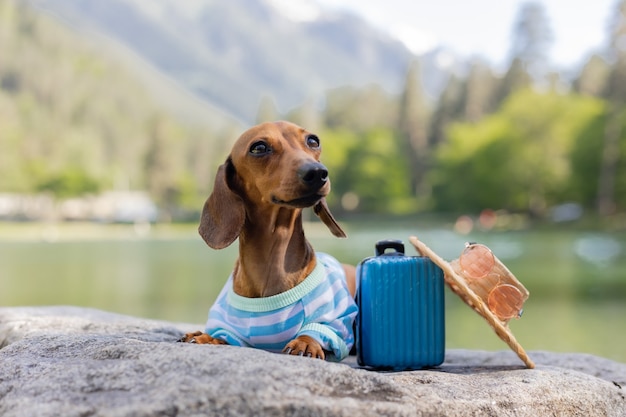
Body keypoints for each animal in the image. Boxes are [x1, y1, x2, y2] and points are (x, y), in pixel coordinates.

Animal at [179, 121, 356, 360]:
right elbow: (223, 334)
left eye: (313, 140)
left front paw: (305, 343)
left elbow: (317, 328)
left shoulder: (335, 320)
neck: (273, 259)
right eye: (259, 147)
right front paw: (208, 337)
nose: (318, 173)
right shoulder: (229, 324)